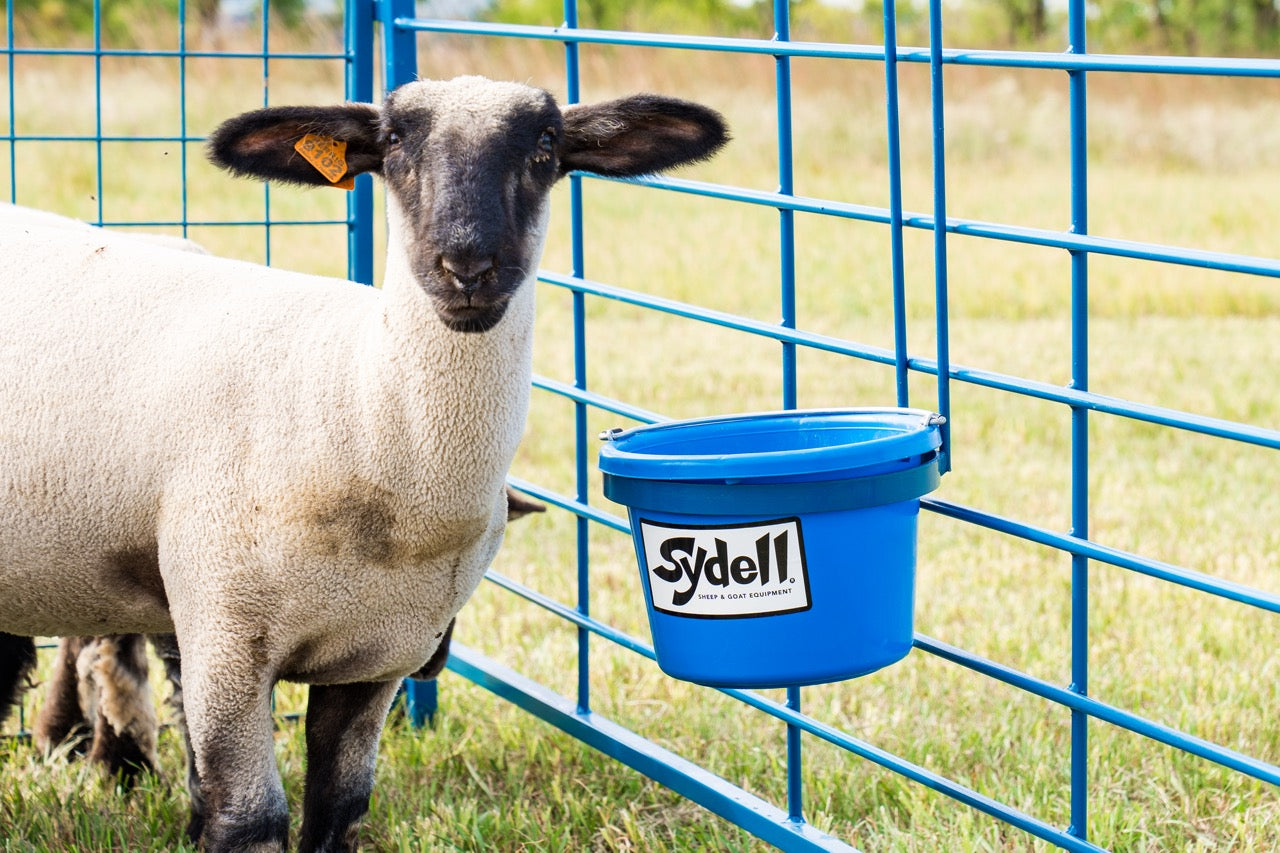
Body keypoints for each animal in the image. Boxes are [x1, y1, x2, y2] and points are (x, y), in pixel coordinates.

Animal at [0, 75, 727, 852]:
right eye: (395, 141)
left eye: (546, 144)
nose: (467, 268)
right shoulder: (224, 643)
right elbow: (250, 818)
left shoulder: (378, 660)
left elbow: (339, 808)